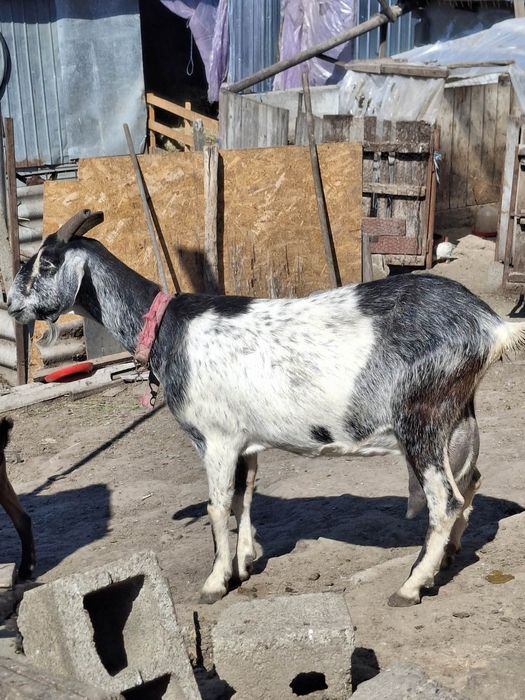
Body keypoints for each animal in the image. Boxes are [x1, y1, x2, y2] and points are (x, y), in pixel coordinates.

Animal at [7, 209, 525, 605]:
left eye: (47, 263)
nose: (10, 301)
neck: (168, 329)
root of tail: (490, 324)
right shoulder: (245, 441)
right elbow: (245, 498)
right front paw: (245, 562)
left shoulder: (215, 438)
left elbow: (218, 507)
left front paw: (216, 581)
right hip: (458, 413)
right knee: (470, 481)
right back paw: (448, 558)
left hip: (422, 418)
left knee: (445, 499)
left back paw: (412, 585)